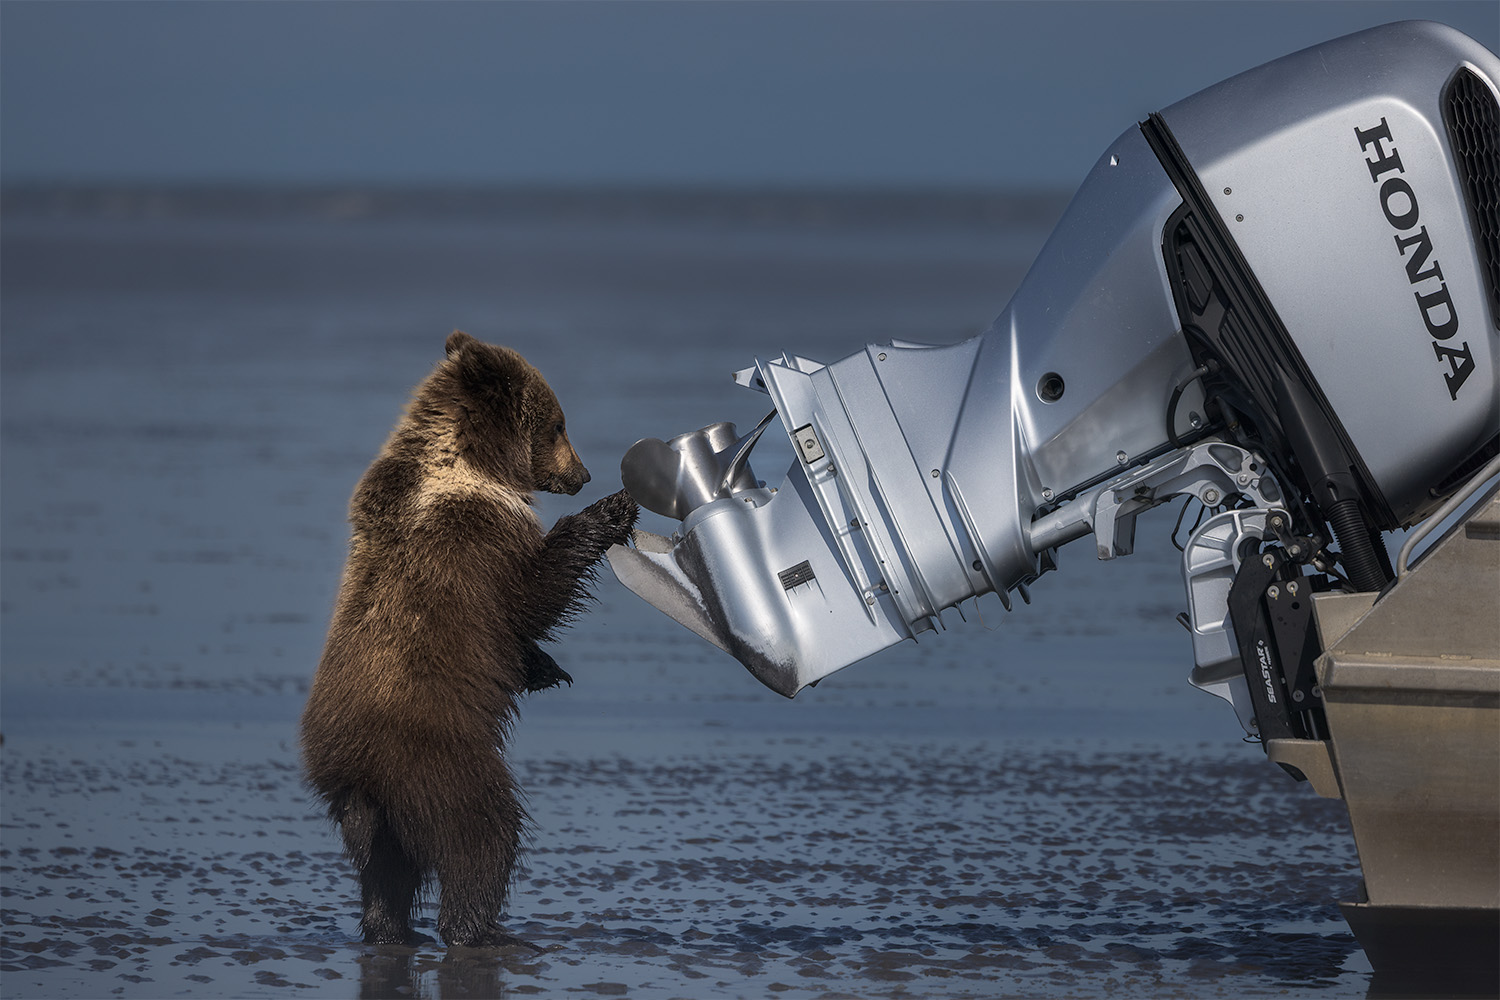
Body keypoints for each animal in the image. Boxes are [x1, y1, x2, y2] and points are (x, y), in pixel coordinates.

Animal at [300, 331, 638, 948]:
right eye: (558, 424)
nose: (582, 474)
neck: (468, 464)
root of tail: (360, 777)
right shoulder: (477, 538)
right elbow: (531, 596)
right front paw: (609, 511)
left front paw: (547, 670)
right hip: (440, 759)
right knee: (483, 835)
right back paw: (482, 929)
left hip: (366, 803)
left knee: (384, 871)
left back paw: (389, 929)